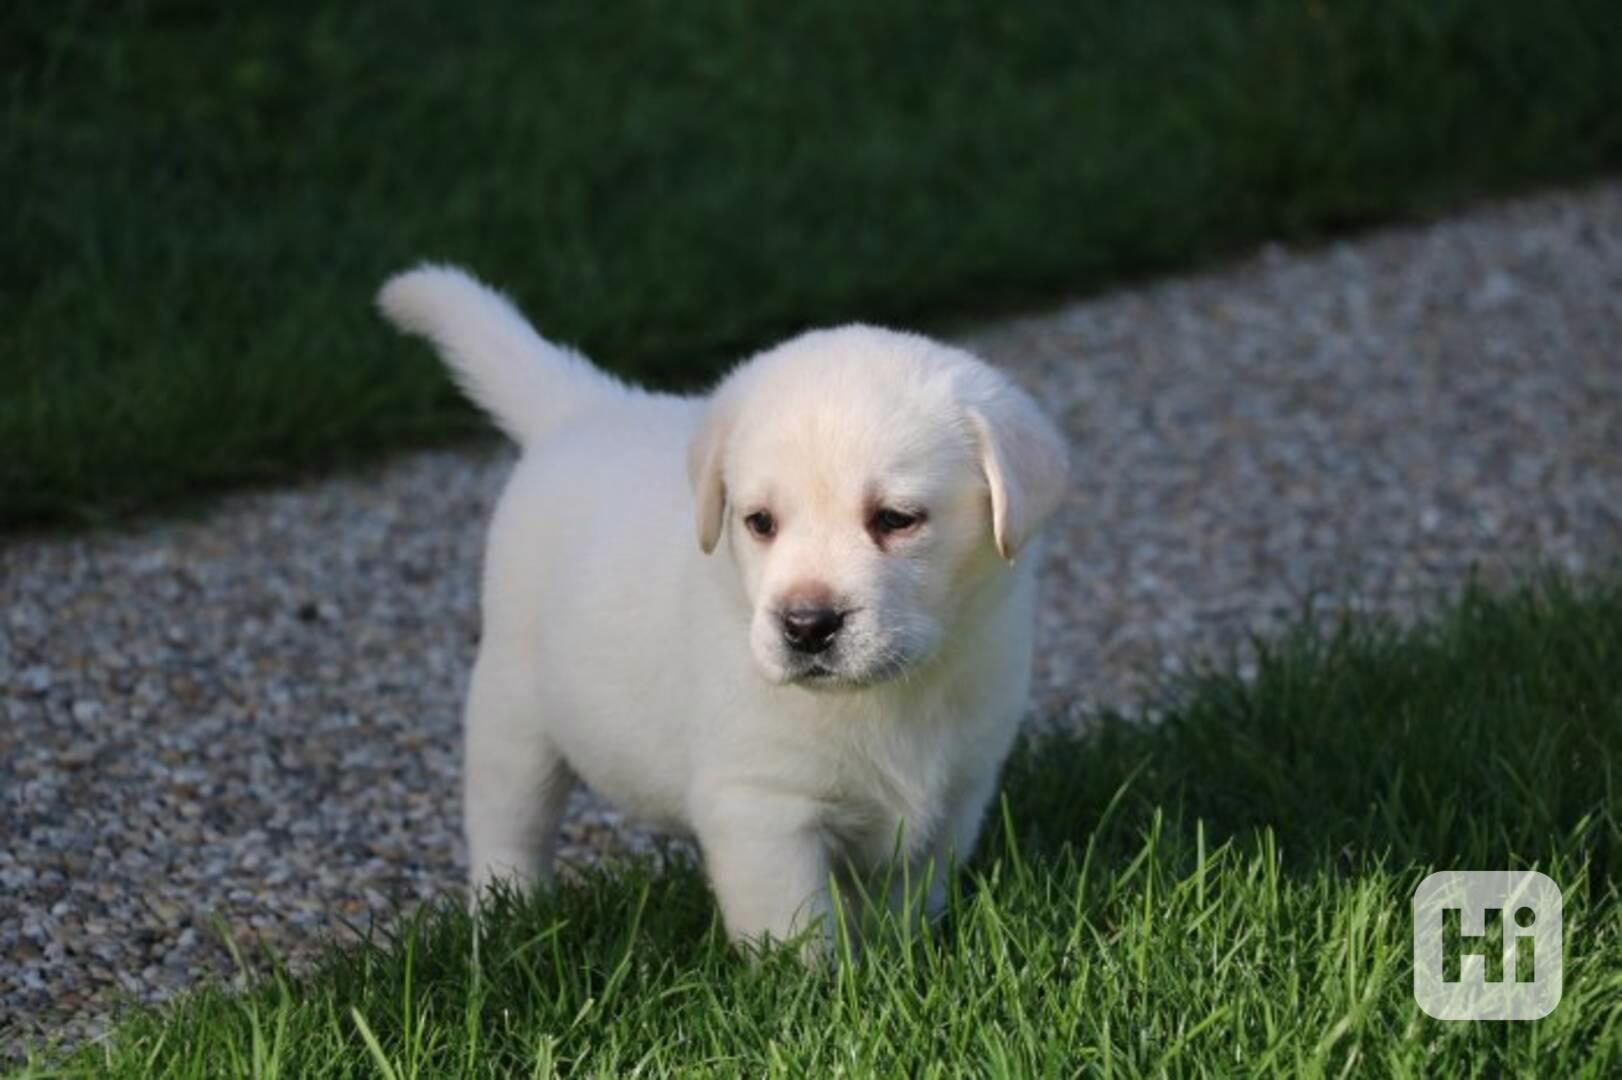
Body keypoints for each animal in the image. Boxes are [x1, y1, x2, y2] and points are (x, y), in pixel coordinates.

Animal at [374, 264, 1070, 947]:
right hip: (514, 710)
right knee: (508, 822)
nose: (806, 625)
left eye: (897, 519)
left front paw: (901, 955)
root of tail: (584, 409)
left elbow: (904, 901)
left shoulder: (957, 793)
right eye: (759, 522)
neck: (887, 697)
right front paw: (819, 980)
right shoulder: (763, 810)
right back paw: (508, 913)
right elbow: (796, 933)